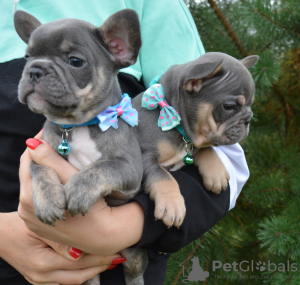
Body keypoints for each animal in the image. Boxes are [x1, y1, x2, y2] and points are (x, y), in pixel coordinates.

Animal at [14, 8, 148, 284]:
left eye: (75, 61)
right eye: (27, 57)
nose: (35, 70)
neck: (77, 125)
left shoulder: (130, 171)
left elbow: (103, 167)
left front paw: (79, 188)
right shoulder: (38, 151)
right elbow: (40, 170)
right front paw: (47, 199)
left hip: (132, 256)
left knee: (134, 271)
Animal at [132, 51, 258, 226]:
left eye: (250, 105)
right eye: (229, 107)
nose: (248, 119)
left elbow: (208, 148)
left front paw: (216, 172)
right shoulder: (143, 156)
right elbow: (163, 175)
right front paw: (172, 204)